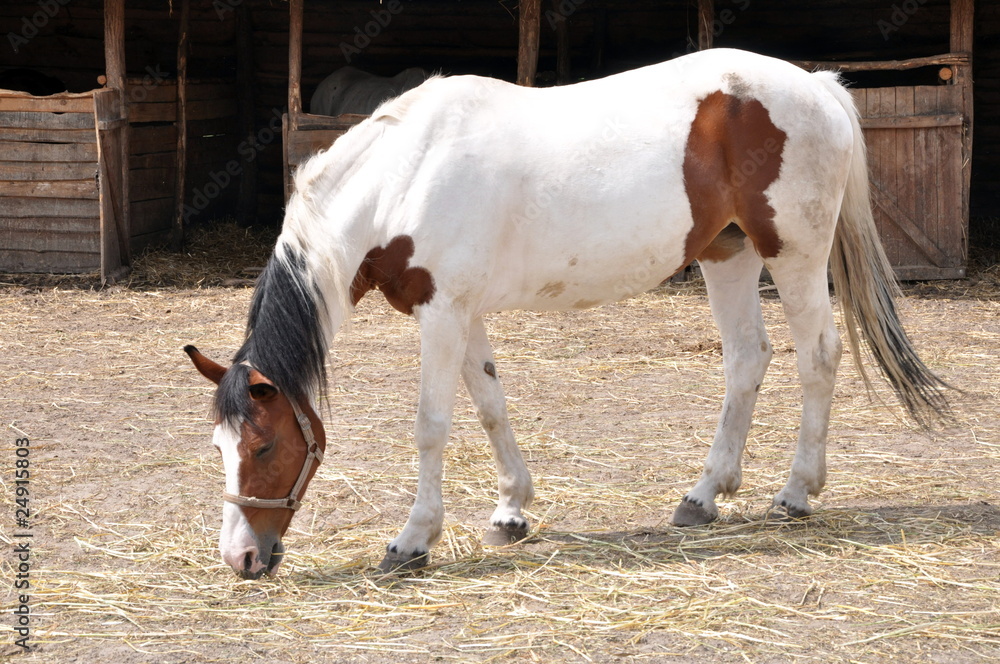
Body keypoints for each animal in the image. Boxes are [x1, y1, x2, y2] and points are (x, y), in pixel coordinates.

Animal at [186, 48, 950, 579]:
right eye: (219, 449)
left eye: (263, 447)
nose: (242, 559)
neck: (403, 176)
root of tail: (816, 85)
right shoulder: (463, 312)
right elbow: (491, 405)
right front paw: (510, 511)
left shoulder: (442, 312)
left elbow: (432, 426)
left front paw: (412, 541)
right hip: (727, 253)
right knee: (746, 359)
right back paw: (703, 496)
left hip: (792, 254)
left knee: (818, 356)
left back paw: (795, 494)